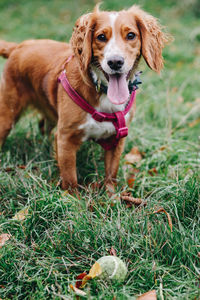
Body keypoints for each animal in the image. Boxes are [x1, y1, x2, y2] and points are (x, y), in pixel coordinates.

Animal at [0, 4, 170, 191]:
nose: (115, 62)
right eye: (101, 37)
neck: (102, 91)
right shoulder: (65, 138)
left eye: (131, 35)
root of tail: (18, 46)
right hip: (6, 116)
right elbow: (70, 179)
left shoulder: (116, 139)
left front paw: (112, 197)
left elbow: (111, 176)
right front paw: (72, 197)